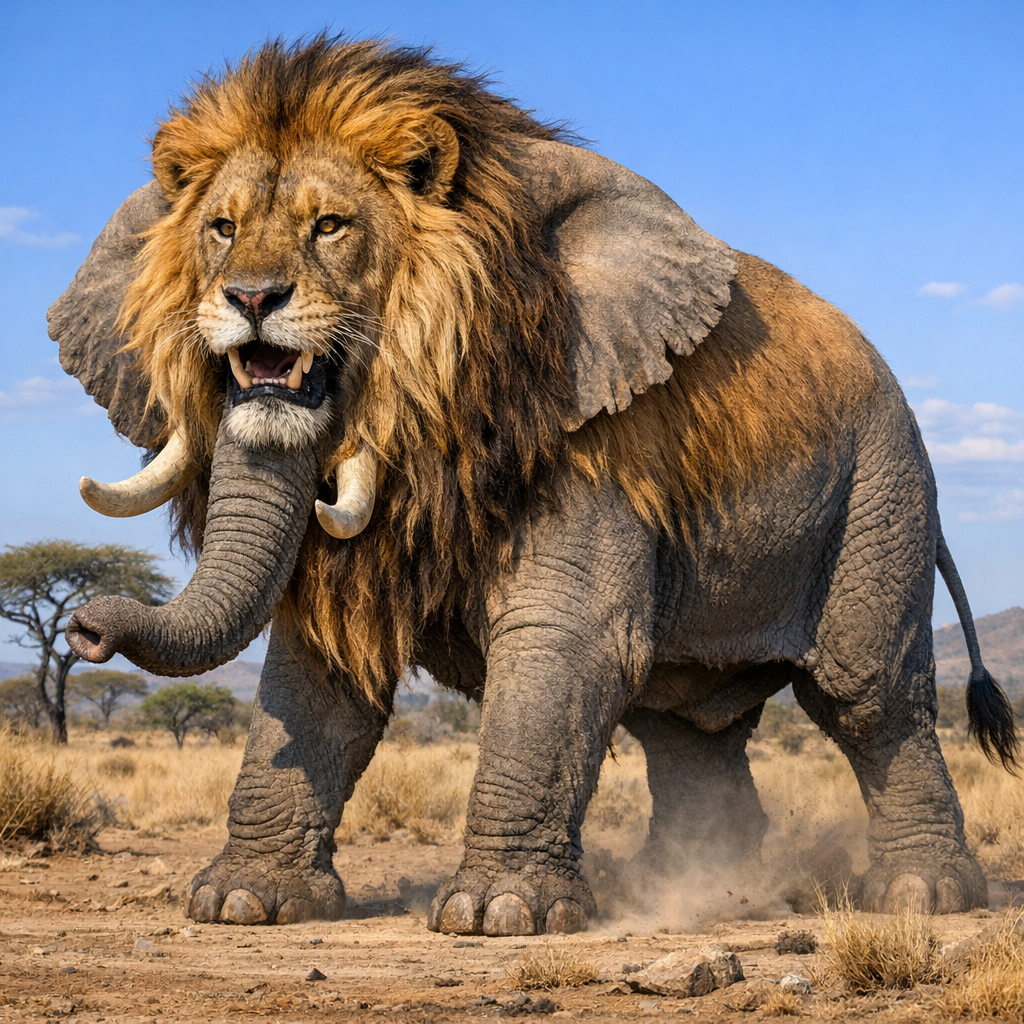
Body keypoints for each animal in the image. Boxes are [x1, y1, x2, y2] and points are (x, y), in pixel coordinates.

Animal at [51, 38, 1015, 935]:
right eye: (219, 227)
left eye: (331, 225)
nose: (84, 626)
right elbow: (315, 669)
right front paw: (240, 902)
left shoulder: (588, 443)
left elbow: (562, 641)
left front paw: (498, 914)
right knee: (687, 728)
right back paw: (701, 889)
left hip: (883, 493)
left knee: (871, 698)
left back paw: (918, 897)